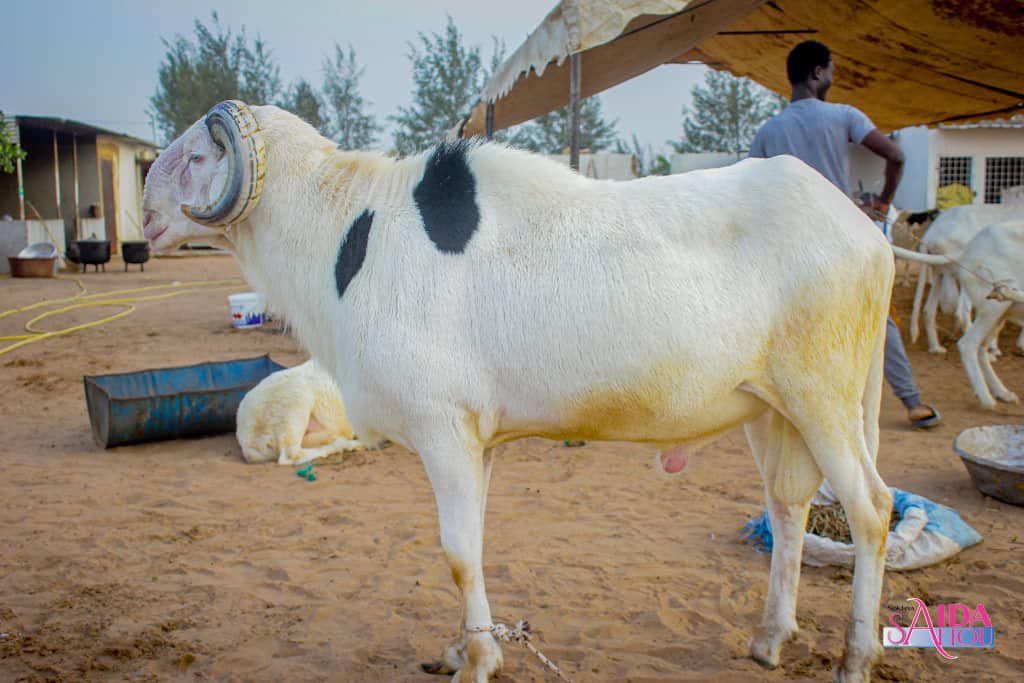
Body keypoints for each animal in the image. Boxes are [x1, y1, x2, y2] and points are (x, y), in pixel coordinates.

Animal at [142, 101, 896, 683]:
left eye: (196, 157)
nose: (145, 214)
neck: (347, 232)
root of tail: (868, 235)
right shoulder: (480, 438)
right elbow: (473, 541)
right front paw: (461, 647)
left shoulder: (443, 429)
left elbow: (456, 551)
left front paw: (478, 661)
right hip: (773, 408)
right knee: (790, 506)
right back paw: (771, 637)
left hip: (824, 395)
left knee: (871, 508)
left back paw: (855, 657)